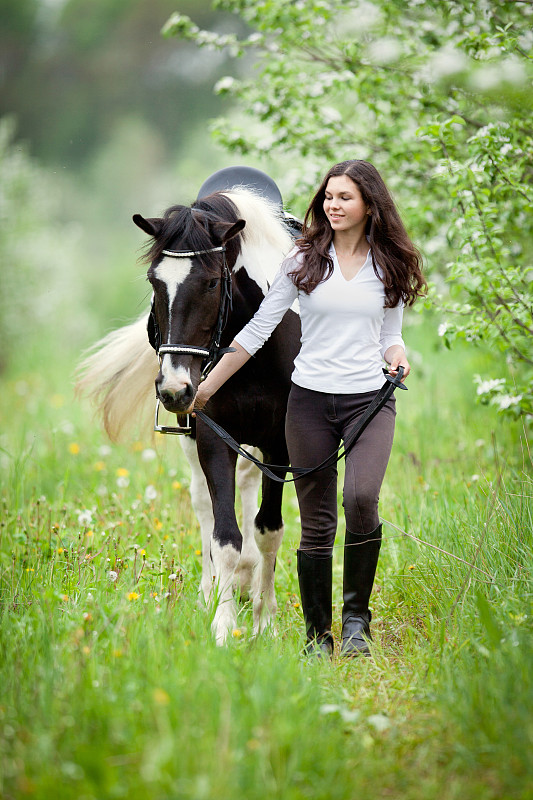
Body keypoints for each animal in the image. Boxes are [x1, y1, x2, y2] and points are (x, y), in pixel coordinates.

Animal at [80, 188, 302, 644]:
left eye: (213, 282)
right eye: (154, 282)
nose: (174, 389)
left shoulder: (278, 446)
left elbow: (268, 531)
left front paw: (265, 621)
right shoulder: (214, 439)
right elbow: (224, 535)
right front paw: (223, 623)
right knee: (204, 504)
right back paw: (213, 589)